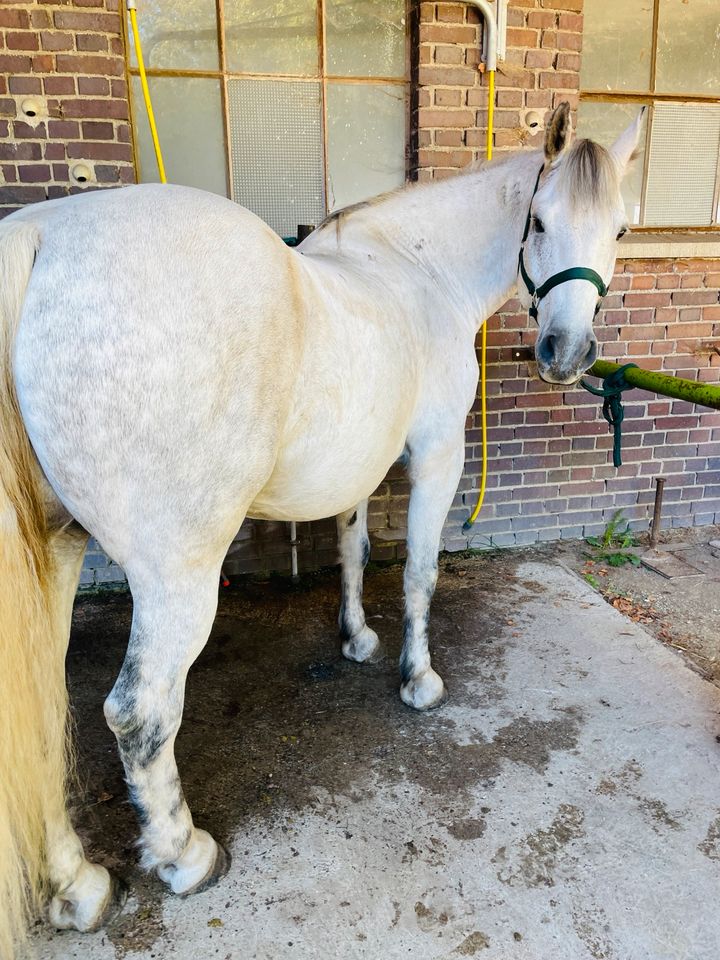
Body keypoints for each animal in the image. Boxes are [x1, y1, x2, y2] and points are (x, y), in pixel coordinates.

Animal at [0, 105, 640, 952]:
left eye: (620, 230)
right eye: (538, 220)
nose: (566, 353)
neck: (419, 271)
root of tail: (41, 238)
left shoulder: (358, 466)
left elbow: (352, 548)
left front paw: (356, 639)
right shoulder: (437, 453)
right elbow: (418, 572)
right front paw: (417, 679)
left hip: (57, 552)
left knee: (41, 712)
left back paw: (75, 887)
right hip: (177, 575)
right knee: (139, 712)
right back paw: (182, 855)